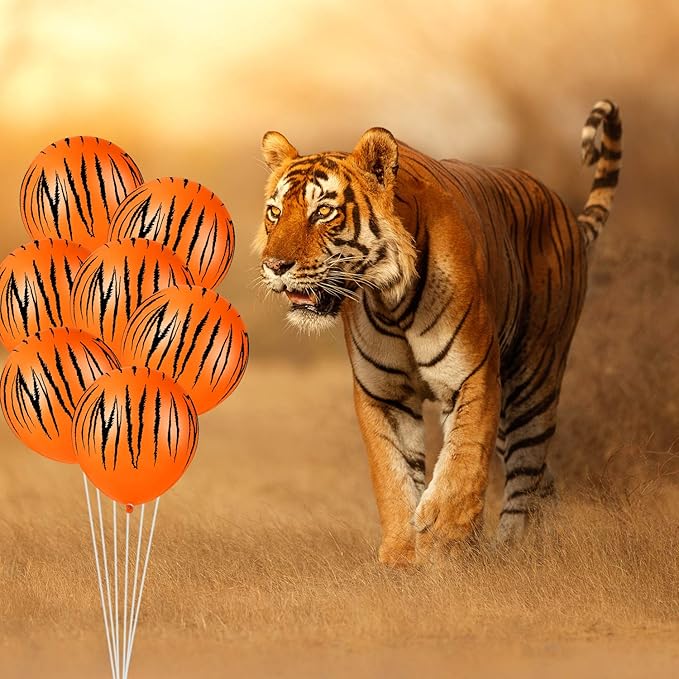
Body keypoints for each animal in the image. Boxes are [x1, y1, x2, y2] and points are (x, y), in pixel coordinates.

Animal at [254, 100, 622, 565]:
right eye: (275, 212)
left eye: (323, 212)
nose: (274, 266)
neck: (390, 299)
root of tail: (565, 211)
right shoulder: (384, 393)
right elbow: (392, 474)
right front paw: (401, 555)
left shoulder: (472, 376)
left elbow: (462, 460)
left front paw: (443, 539)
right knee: (541, 476)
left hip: (532, 380)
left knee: (526, 470)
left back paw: (513, 548)